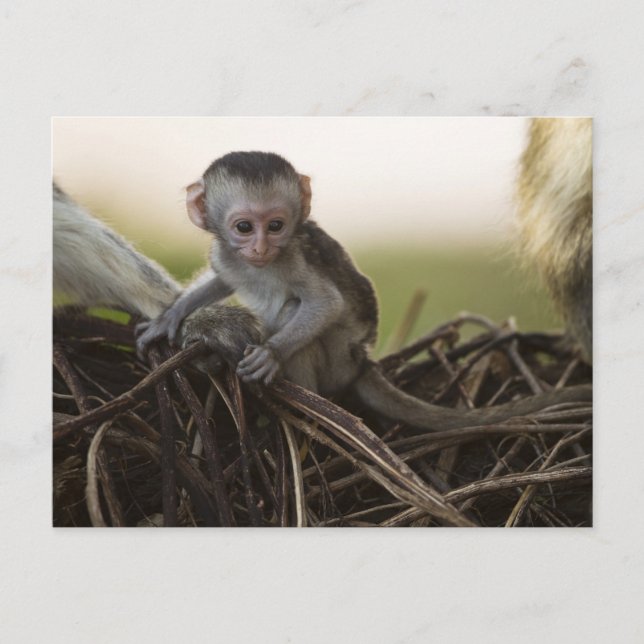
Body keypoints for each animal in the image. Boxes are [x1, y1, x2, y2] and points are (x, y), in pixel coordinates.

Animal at [137, 151, 590, 432]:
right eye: (245, 227)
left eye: (277, 225)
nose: (262, 247)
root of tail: (362, 362)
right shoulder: (226, 255)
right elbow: (221, 280)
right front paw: (169, 318)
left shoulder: (294, 256)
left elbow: (325, 302)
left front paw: (270, 355)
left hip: (339, 361)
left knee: (297, 312)